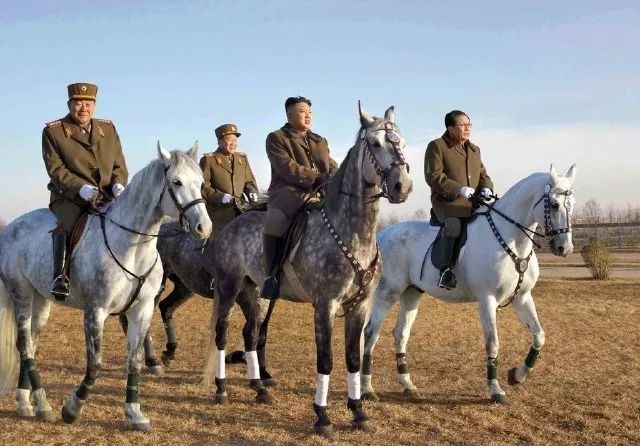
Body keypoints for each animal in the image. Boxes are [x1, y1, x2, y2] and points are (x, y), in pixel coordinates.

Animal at [0, 143, 212, 431]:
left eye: (200, 183)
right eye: (176, 182)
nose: (204, 228)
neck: (133, 247)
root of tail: (10, 228)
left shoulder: (141, 310)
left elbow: (134, 361)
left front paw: (135, 413)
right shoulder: (96, 310)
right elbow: (95, 363)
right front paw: (72, 409)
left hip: (40, 302)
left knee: (31, 343)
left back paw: (28, 403)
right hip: (21, 295)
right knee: (24, 344)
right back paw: (41, 404)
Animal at [197, 104, 412, 439]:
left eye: (400, 141)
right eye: (376, 144)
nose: (403, 186)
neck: (351, 232)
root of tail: (231, 225)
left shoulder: (360, 306)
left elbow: (353, 358)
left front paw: (359, 413)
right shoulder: (325, 305)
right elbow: (326, 360)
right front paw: (322, 417)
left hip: (257, 294)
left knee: (250, 332)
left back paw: (260, 389)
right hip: (229, 287)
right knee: (222, 332)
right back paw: (221, 389)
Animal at [360, 165, 577, 404]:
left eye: (572, 203)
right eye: (554, 204)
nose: (564, 248)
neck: (511, 239)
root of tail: (382, 234)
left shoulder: (522, 297)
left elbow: (539, 335)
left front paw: (517, 376)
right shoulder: (487, 299)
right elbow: (493, 342)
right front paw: (495, 390)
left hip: (411, 294)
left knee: (400, 334)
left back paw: (407, 385)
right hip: (387, 294)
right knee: (370, 333)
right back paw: (367, 389)